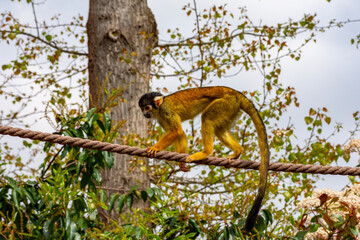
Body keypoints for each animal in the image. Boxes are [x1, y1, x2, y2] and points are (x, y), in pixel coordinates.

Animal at [139, 86, 268, 231]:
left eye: (147, 107)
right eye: (142, 109)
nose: (144, 114)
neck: (159, 107)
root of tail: (234, 92)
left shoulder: (166, 111)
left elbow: (176, 131)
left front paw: (155, 148)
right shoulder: (161, 118)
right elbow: (179, 133)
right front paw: (181, 163)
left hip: (225, 103)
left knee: (206, 117)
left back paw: (206, 152)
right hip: (231, 108)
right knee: (219, 128)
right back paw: (237, 151)